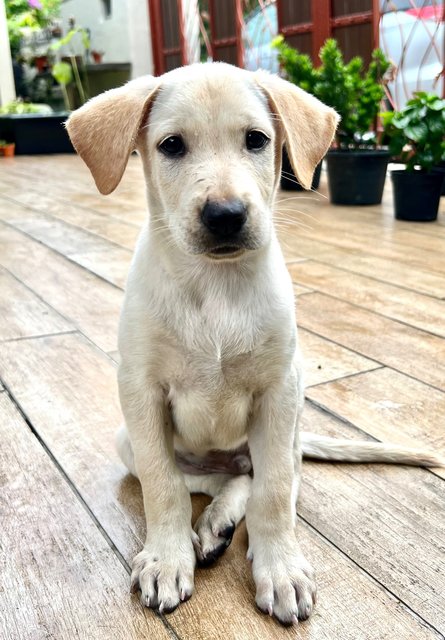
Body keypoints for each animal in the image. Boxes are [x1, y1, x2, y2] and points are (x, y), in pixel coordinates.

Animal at [67, 63, 444, 624]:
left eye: (257, 140)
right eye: (171, 145)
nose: (225, 214)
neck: (217, 287)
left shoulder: (278, 392)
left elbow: (273, 493)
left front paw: (280, 568)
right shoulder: (141, 392)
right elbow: (162, 485)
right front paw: (167, 559)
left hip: (288, 431)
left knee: (267, 477)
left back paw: (223, 523)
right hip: (128, 439)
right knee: (202, 479)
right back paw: (210, 526)